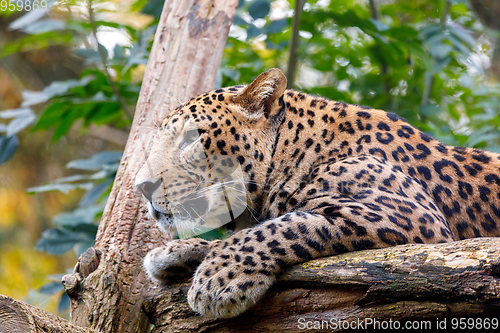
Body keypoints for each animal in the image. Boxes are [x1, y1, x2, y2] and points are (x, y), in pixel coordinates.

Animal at [136, 67, 500, 316]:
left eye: (190, 139)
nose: (141, 186)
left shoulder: (411, 217)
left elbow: (279, 227)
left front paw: (220, 277)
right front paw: (174, 254)